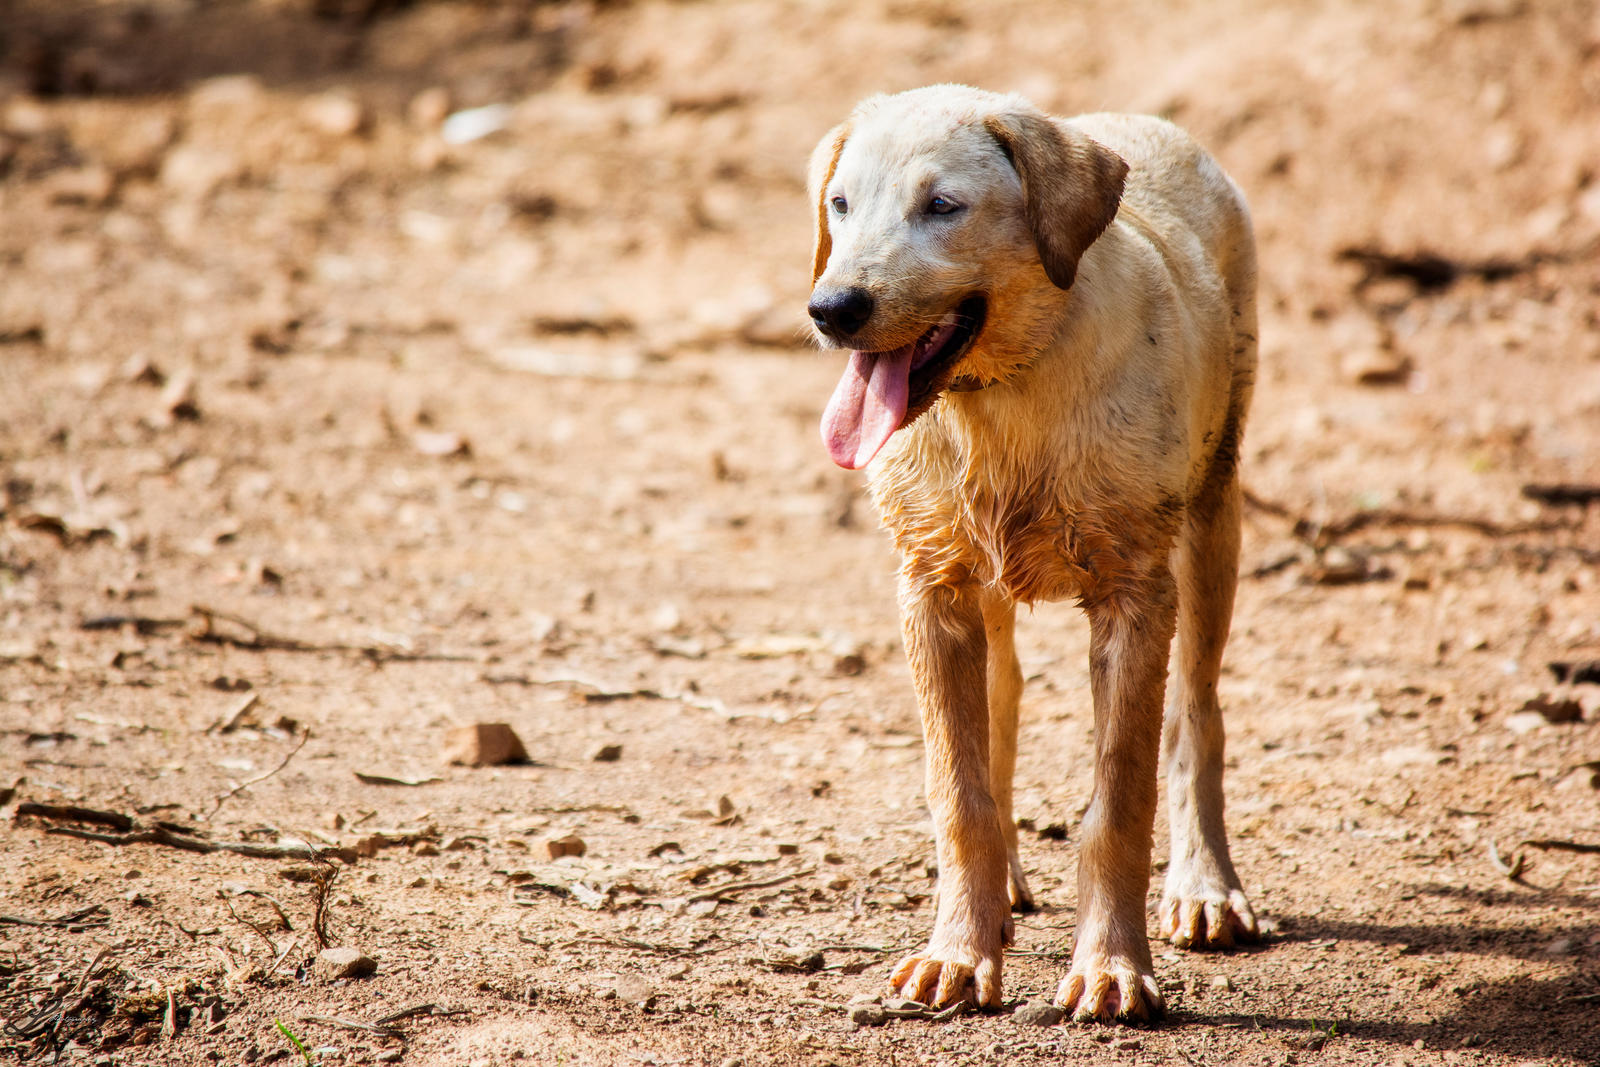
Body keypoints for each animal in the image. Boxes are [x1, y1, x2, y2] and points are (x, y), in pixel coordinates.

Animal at [812, 87, 1260, 1023]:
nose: (831, 309)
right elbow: (961, 791)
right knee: (1005, 705)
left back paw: (1204, 885)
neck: (1002, 396)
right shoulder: (930, 592)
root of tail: (1137, 119)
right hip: (981, 589)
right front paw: (957, 953)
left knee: (1197, 712)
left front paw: (1112, 968)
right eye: (840, 204)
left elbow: (1119, 800)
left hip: (1213, 520)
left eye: (942, 206)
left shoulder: (1136, 596)